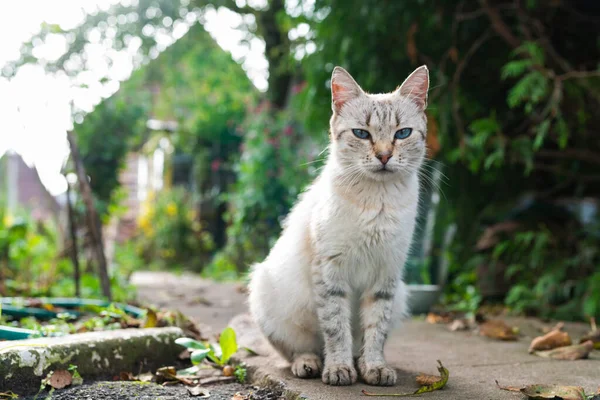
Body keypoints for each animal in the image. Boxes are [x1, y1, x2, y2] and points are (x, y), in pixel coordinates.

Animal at [246, 65, 428, 388]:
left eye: (403, 133)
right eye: (362, 134)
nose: (384, 156)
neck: (377, 201)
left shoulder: (386, 274)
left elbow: (375, 330)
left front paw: (374, 369)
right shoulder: (331, 272)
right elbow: (336, 328)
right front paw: (339, 370)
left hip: (401, 294)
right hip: (265, 291)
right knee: (301, 350)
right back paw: (310, 364)